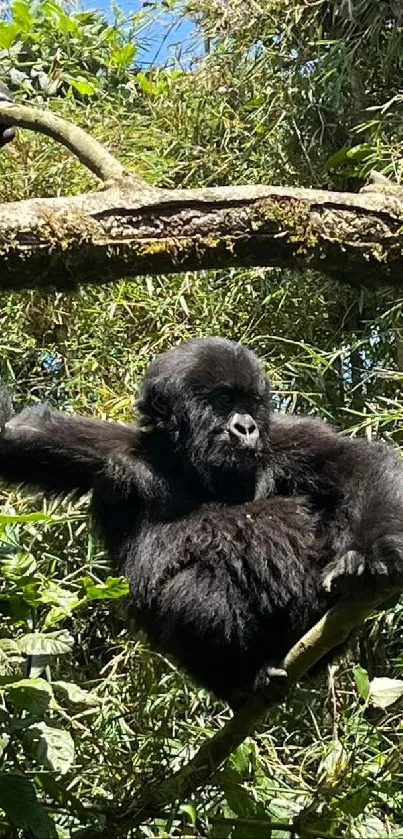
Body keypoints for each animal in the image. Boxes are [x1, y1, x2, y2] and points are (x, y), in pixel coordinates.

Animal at [0, 336, 403, 708]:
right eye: (224, 400)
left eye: (249, 402)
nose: (247, 428)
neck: (189, 462)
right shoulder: (107, 450)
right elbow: (14, 438)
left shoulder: (292, 438)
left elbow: (356, 464)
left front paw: (372, 552)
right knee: (194, 589)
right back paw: (242, 681)